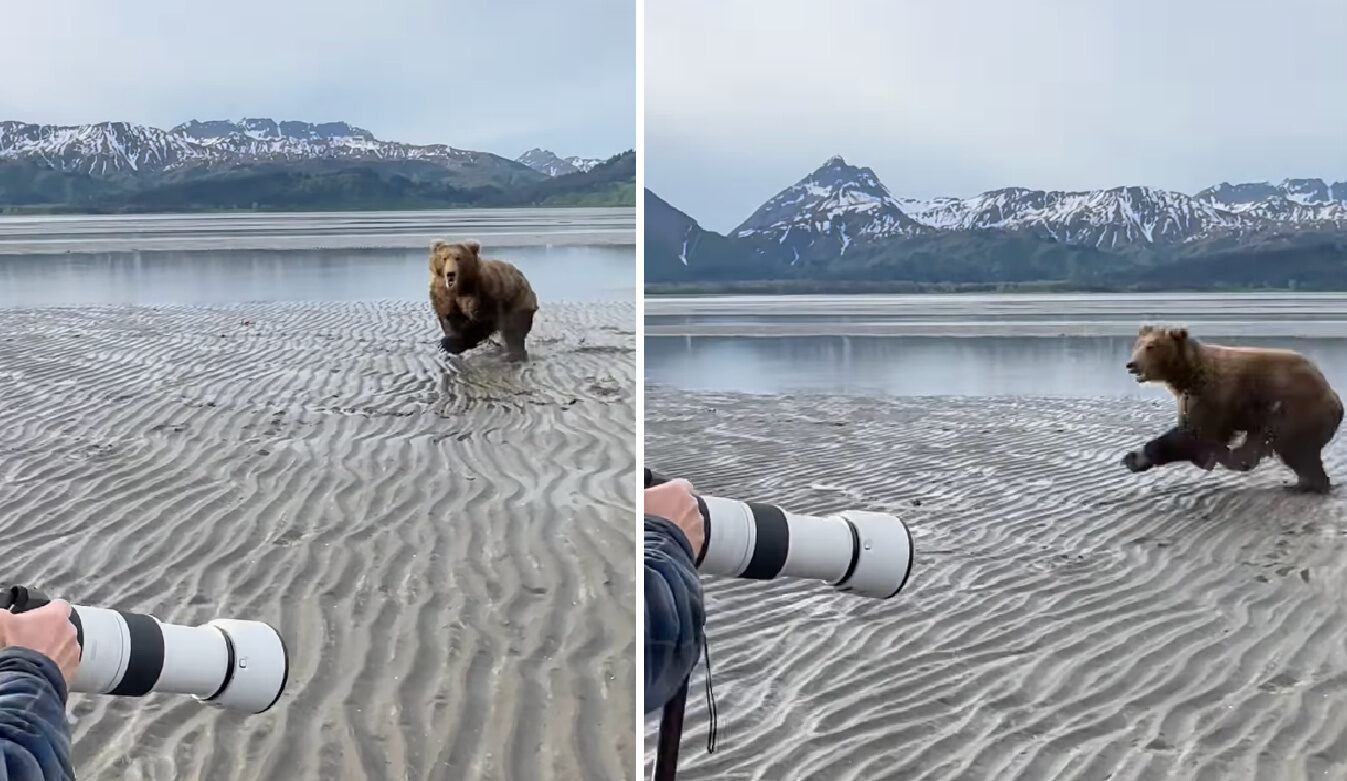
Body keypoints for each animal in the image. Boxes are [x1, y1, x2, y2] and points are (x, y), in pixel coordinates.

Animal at [1120, 328, 1341, 498]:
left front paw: (1135, 457)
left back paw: (1309, 485)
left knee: (1298, 450)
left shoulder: (1212, 397)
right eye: (1137, 345)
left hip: (1297, 412)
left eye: (1151, 346)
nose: (1131, 364)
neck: (1187, 375)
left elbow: (1192, 434)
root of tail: (1334, 397)